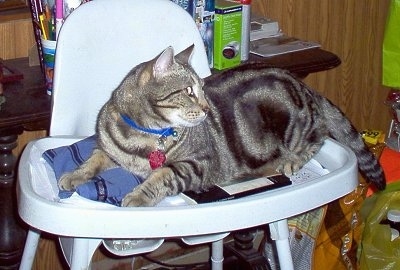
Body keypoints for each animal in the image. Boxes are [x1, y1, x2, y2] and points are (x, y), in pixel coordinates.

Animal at [57, 45, 386, 206]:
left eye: (203, 89)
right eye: (189, 91)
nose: (205, 107)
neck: (147, 134)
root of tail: (306, 87)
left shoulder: (196, 164)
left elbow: (162, 175)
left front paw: (138, 196)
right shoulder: (108, 150)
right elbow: (92, 160)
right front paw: (73, 176)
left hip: (296, 126)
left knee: (317, 138)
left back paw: (289, 161)